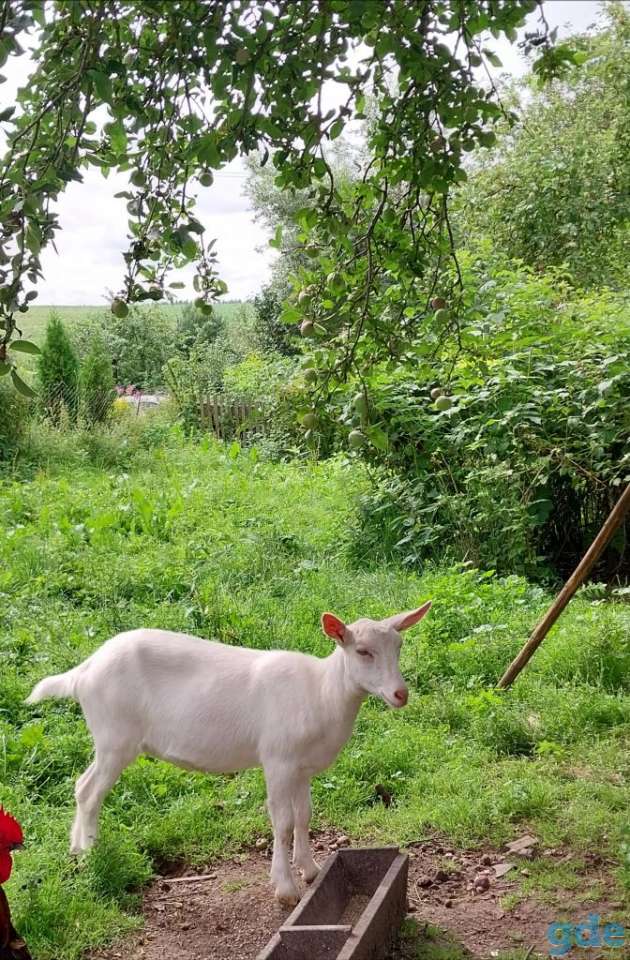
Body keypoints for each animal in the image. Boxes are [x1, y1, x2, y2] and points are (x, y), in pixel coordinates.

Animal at [26, 602, 431, 904]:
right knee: (91, 790)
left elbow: (304, 815)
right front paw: (285, 888)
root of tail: (84, 670)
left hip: (108, 737)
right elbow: (282, 822)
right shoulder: (278, 759)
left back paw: (75, 849)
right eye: (362, 651)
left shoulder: (301, 767)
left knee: (81, 785)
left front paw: (311, 869)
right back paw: (90, 852)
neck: (320, 691)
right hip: (116, 735)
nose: (400, 694)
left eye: (399, 647)